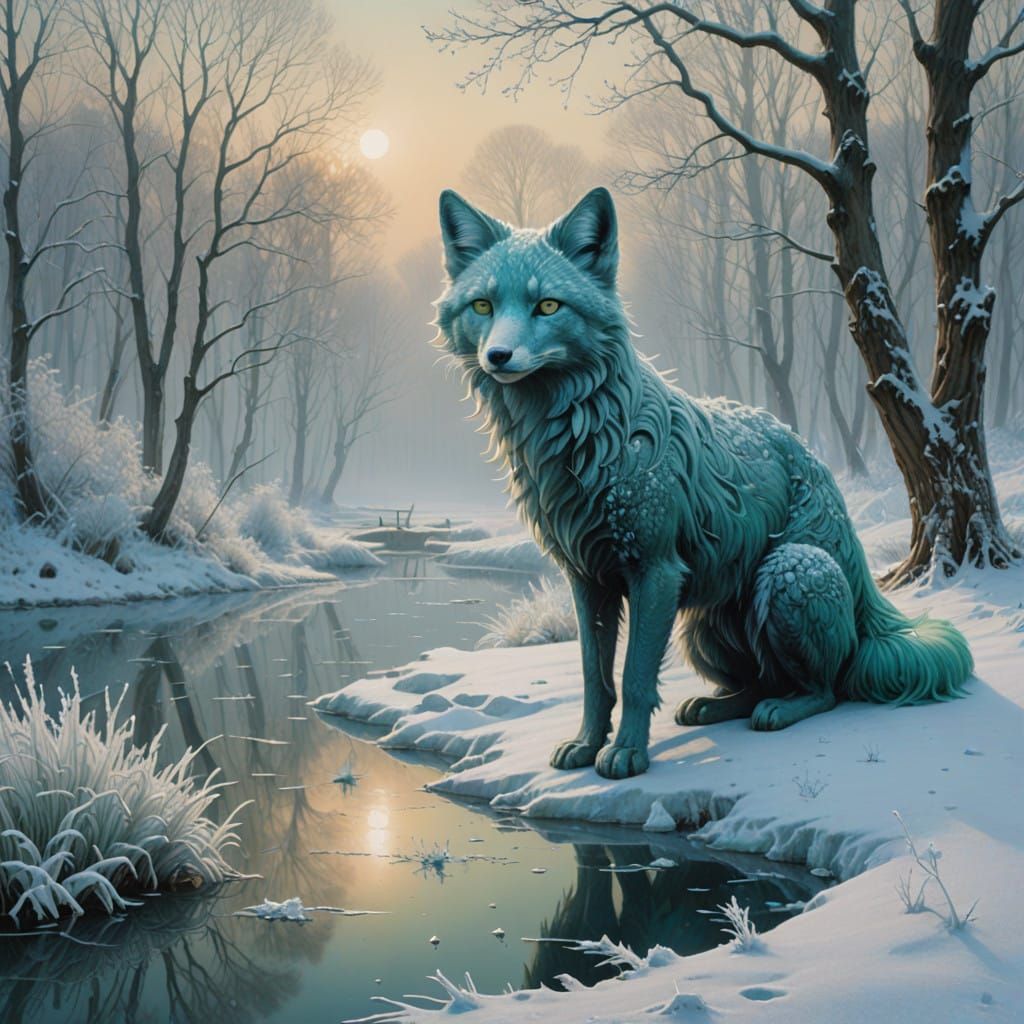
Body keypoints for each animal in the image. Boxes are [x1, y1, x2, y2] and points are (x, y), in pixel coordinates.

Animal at [435, 186, 973, 780]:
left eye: (548, 306)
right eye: (483, 306)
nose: (498, 356)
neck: (586, 437)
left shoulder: (656, 572)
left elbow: (634, 677)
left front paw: (626, 754)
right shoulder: (586, 579)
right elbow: (594, 678)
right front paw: (584, 745)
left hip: (787, 572)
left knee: (827, 687)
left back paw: (779, 711)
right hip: (702, 623)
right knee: (758, 680)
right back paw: (712, 706)